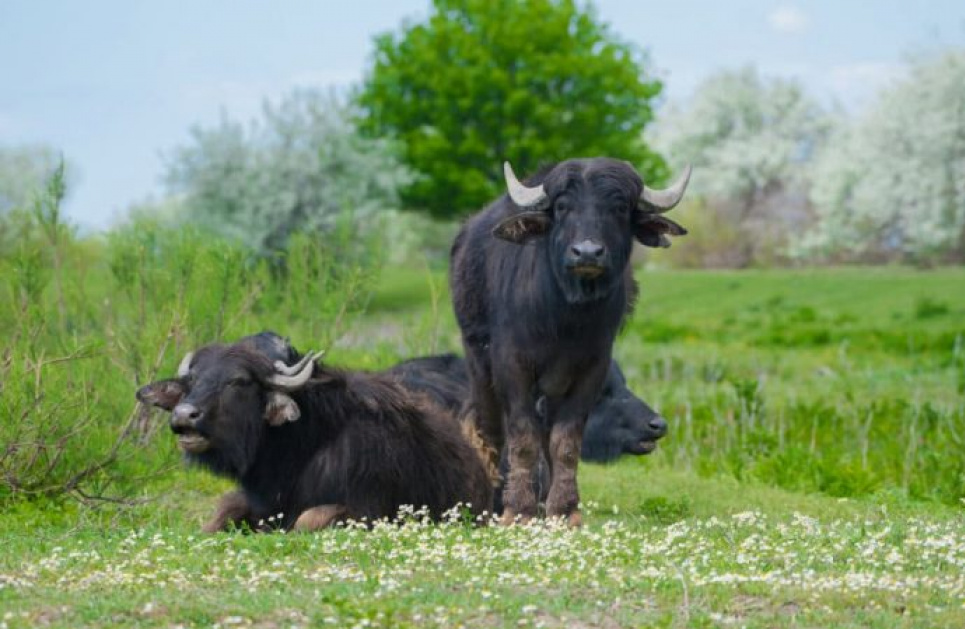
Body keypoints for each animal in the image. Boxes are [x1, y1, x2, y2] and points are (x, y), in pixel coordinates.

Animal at [136, 336, 494, 532]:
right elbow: (216, 519)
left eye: (239, 381)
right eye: (192, 380)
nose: (184, 415)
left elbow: (308, 519)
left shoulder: (369, 511)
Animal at [448, 158, 688, 524]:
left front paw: (564, 512)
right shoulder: (511, 365)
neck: (566, 319)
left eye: (619, 207)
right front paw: (517, 510)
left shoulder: (591, 369)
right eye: (562, 206)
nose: (587, 253)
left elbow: (566, 443)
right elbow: (522, 439)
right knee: (489, 428)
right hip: (478, 362)